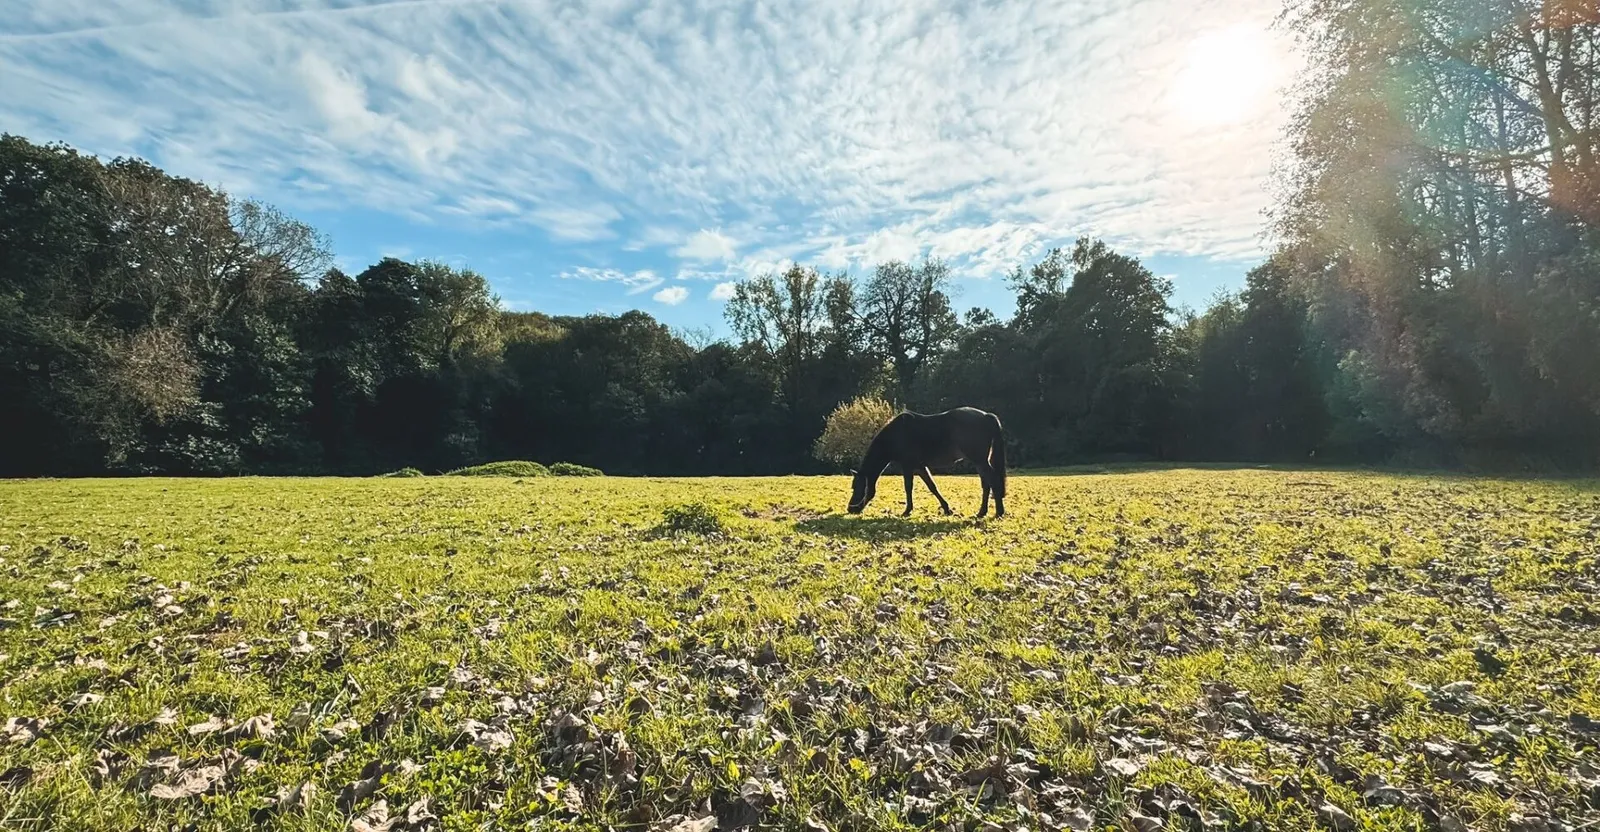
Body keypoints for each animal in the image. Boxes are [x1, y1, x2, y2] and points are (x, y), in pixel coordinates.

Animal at [847, 406, 1007, 518]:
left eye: (857, 487)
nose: (851, 508)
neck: (896, 435)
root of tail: (986, 416)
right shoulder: (920, 467)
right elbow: (932, 487)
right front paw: (947, 509)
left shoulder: (907, 466)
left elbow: (908, 487)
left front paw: (907, 511)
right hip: (980, 462)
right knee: (986, 485)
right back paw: (982, 512)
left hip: (980, 460)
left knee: (992, 481)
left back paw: (998, 512)